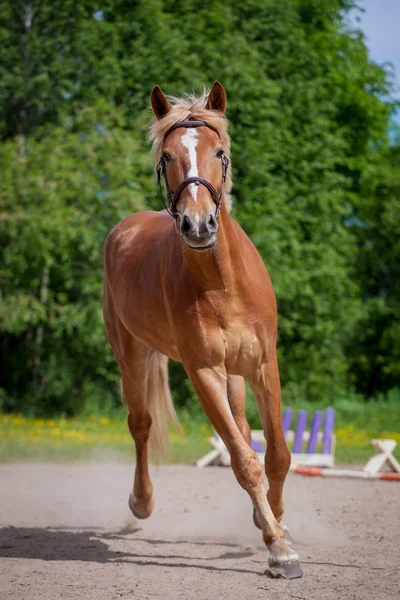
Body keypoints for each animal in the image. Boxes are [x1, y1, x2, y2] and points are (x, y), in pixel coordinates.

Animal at [103, 82, 304, 580]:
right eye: (168, 156)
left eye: (220, 152)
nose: (198, 224)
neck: (222, 282)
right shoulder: (204, 373)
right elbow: (244, 461)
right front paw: (279, 549)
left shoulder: (263, 367)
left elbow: (277, 453)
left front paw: (275, 524)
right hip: (131, 356)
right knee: (140, 424)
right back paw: (141, 502)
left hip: (235, 377)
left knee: (246, 427)